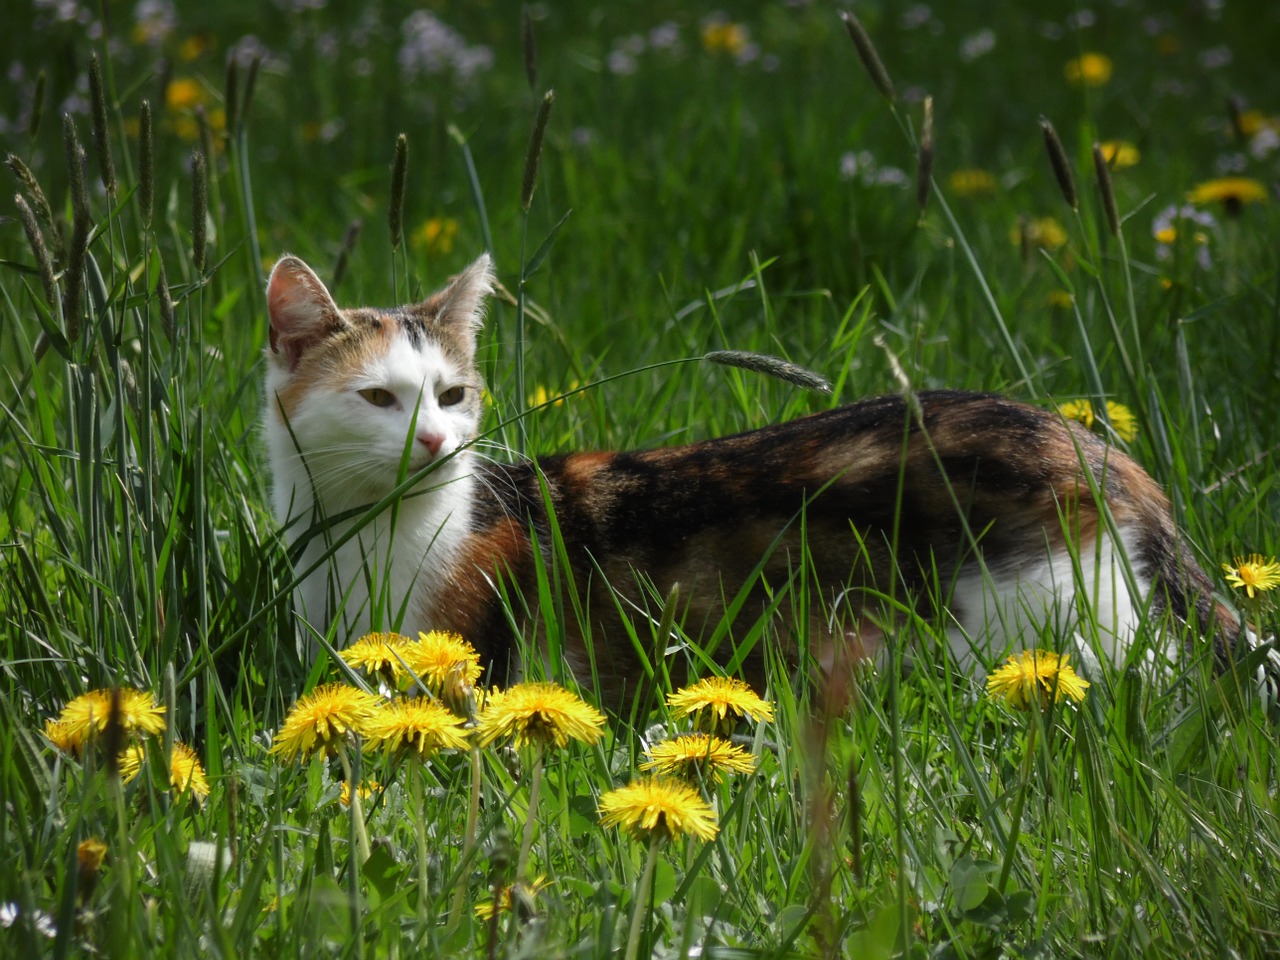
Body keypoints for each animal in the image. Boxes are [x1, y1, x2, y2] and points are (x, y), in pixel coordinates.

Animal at [262, 249, 1239, 701]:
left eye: (452, 394)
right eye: (379, 397)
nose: (434, 442)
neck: (360, 535)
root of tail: (1092, 448)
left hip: (1053, 621)